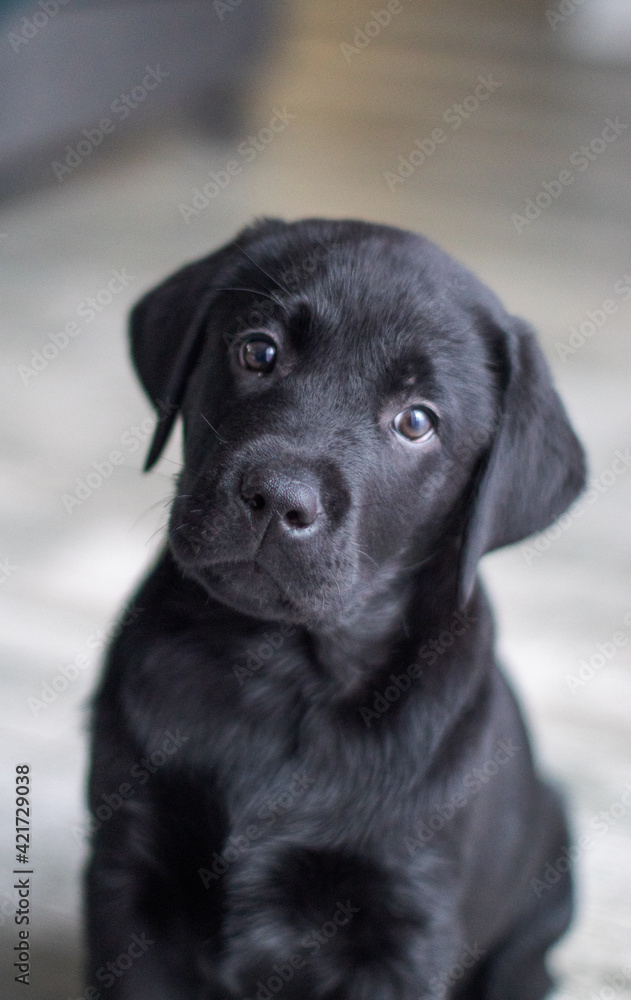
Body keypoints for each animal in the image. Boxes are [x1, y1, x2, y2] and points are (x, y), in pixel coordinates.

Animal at [85, 221, 588, 1000]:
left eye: (416, 422)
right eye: (258, 350)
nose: (278, 498)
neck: (280, 672)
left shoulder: (402, 925)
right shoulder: (126, 876)